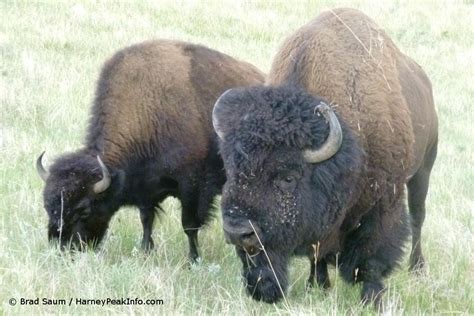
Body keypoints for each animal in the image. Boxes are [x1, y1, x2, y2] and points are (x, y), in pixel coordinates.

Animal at [37, 40, 264, 262]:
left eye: (84, 210)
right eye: (47, 206)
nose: (64, 248)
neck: (148, 110)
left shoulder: (191, 187)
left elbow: (189, 225)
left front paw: (193, 259)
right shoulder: (146, 189)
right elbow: (146, 220)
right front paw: (146, 250)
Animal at [213, 8, 438, 306]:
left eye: (288, 177)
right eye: (231, 171)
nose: (238, 231)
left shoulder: (384, 202)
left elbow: (373, 256)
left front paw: (372, 299)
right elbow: (316, 252)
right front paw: (317, 285)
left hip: (423, 172)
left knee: (417, 218)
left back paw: (418, 268)